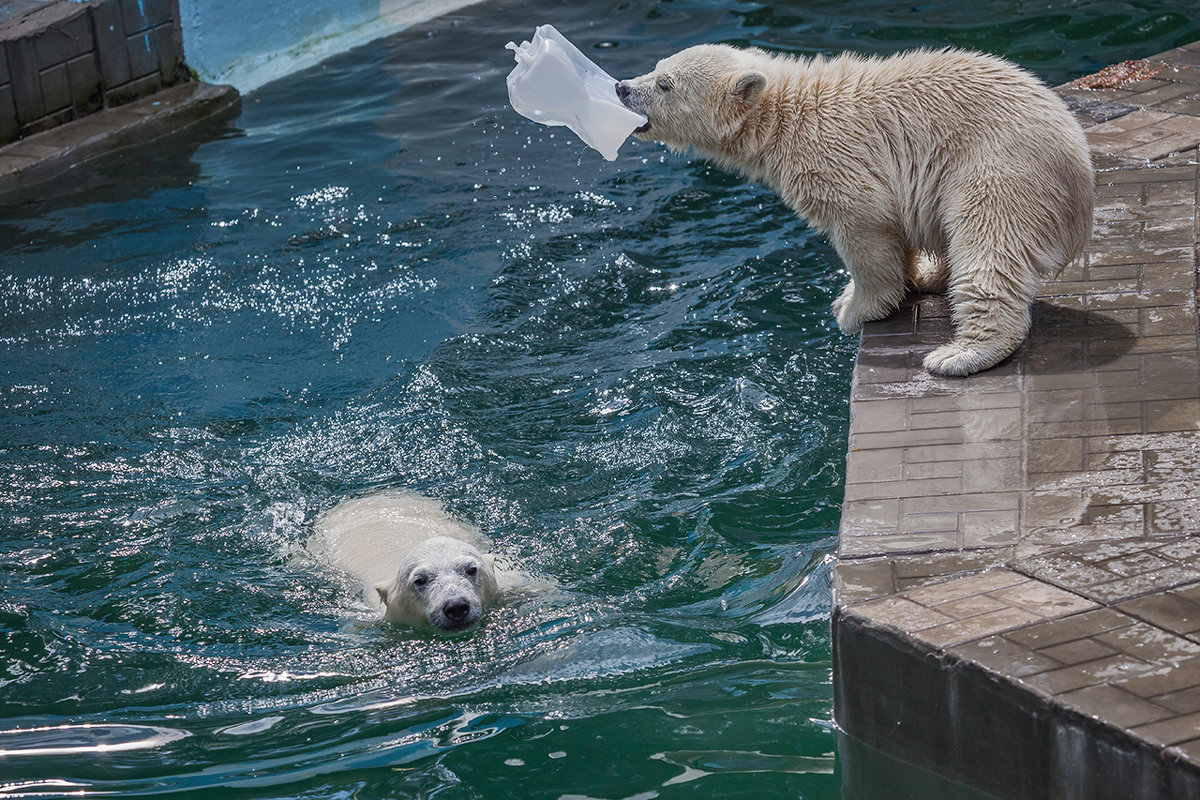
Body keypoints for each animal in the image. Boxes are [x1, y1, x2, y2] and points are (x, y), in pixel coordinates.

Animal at [619, 45, 1099, 376]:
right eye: (657, 67)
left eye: (665, 84)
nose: (622, 88)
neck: (784, 117)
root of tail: (1081, 179)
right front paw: (893, 283)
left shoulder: (837, 163)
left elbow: (865, 233)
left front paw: (853, 309)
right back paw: (936, 273)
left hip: (1001, 171)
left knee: (988, 246)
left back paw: (960, 354)